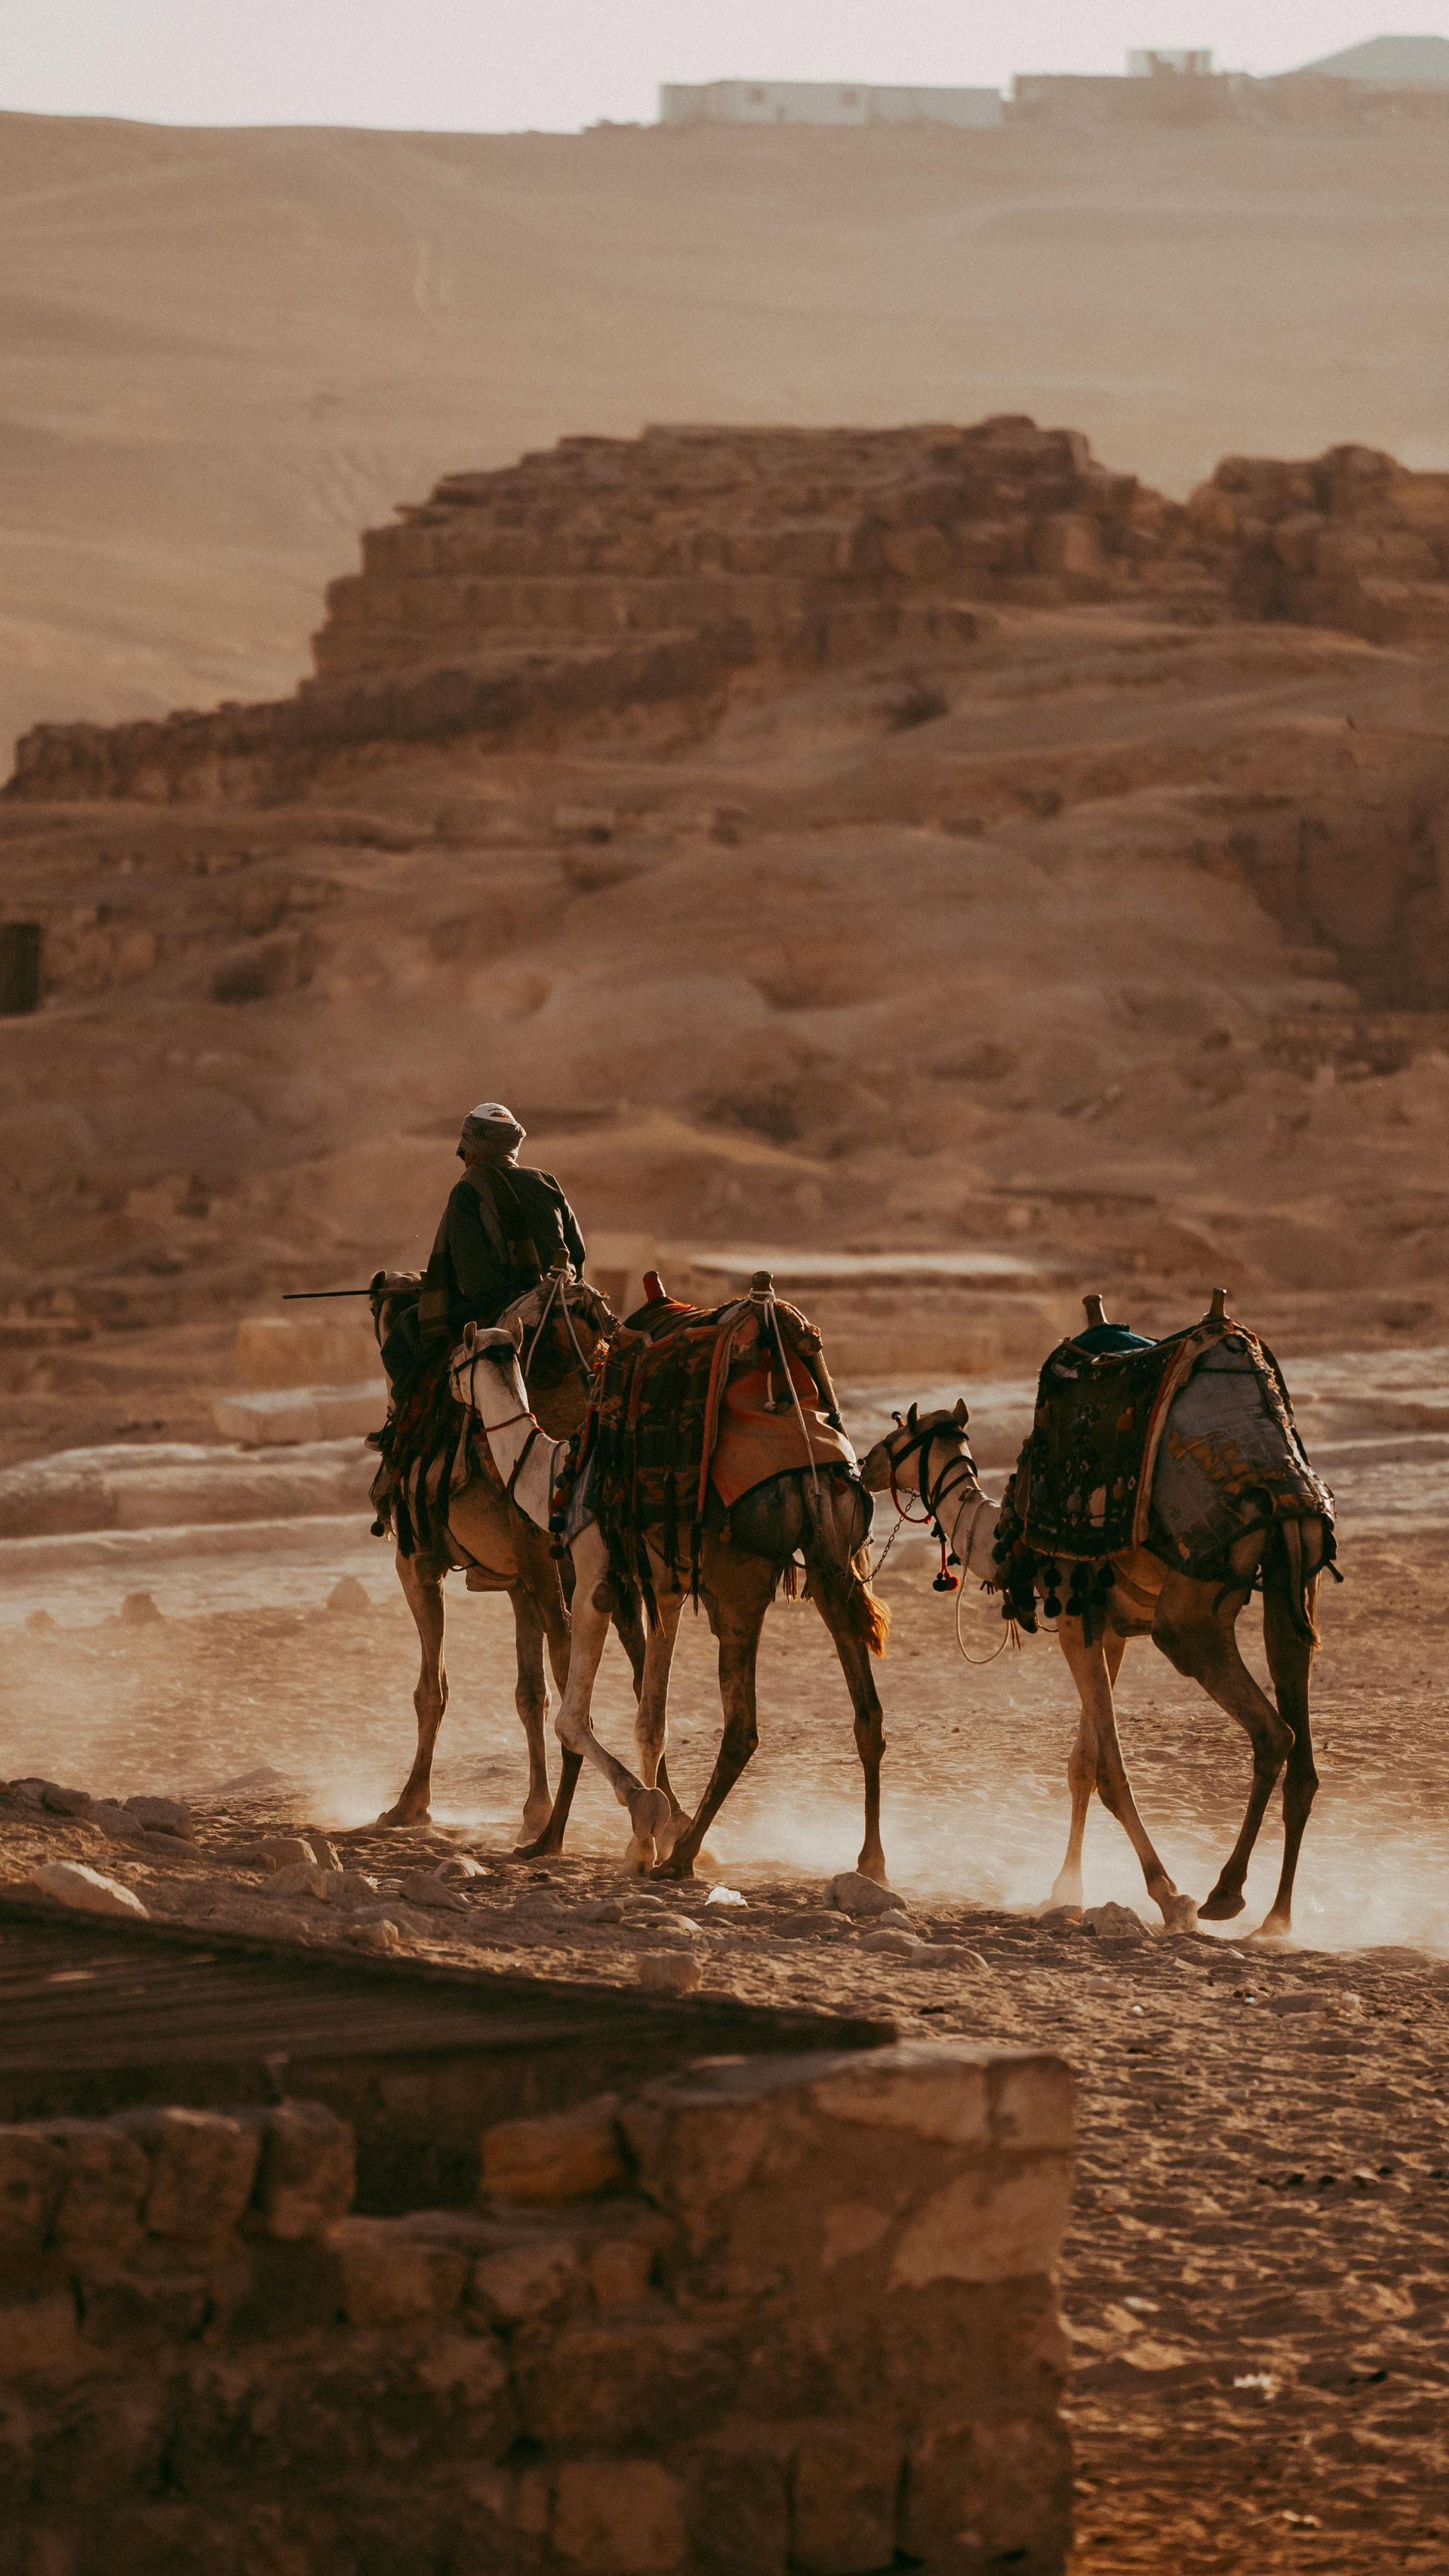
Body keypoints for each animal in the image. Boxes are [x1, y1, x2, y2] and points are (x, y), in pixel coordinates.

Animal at [366, 1262, 641, 1834]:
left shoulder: (417, 1562)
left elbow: (431, 1690)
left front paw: (410, 1803)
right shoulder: (519, 1584)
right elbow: (529, 1693)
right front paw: (534, 1809)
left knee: (572, 1661)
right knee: (639, 1670)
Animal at [446, 1277, 887, 1886]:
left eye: (455, 1359)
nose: (449, 1391)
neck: (554, 1473)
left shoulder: (595, 1579)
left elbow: (572, 1719)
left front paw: (645, 1817)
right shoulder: (666, 1591)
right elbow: (649, 1721)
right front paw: (643, 1839)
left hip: (739, 1579)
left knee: (742, 1726)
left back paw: (683, 1857)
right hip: (834, 1557)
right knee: (867, 1710)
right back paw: (871, 1861)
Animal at [856, 1298, 1330, 1937]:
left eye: (895, 1433)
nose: (864, 1465)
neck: (1005, 1534)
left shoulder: (1076, 1619)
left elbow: (1108, 1770)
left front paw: (1169, 1896)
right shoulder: (1104, 1626)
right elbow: (1082, 1764)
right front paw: (1065, 1888)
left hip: (1190, 1616)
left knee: (1272, 1732)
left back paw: (1224, 1894)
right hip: (1295, 1578)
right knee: (1301, 1745)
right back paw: (1277, 1918)